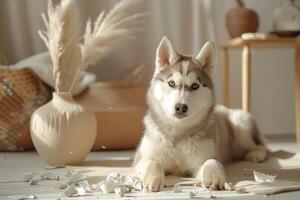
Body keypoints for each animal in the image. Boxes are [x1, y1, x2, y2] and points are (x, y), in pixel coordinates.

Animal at [134, 36, 268, 192]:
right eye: (171, 83)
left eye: (195, 86)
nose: (181, 107)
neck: (178, 134)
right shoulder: (140, 158)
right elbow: (152, 163)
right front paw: (153, 179)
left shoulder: (203, 158)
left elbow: (211, 161)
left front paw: (214, 177)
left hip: (241, 128)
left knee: (262, 145)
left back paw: (256, 155)